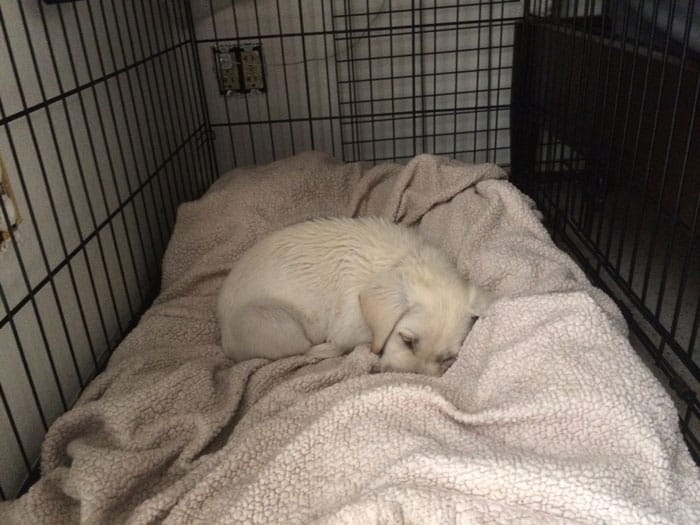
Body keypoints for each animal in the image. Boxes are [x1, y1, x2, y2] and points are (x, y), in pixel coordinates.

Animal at [217, 217, 493, 376]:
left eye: (447, 358)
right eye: (407, 341)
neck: (404, 260)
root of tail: (225, 343)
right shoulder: (349, 328)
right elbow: (358, 340)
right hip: (274, 321)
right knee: (303, 350)